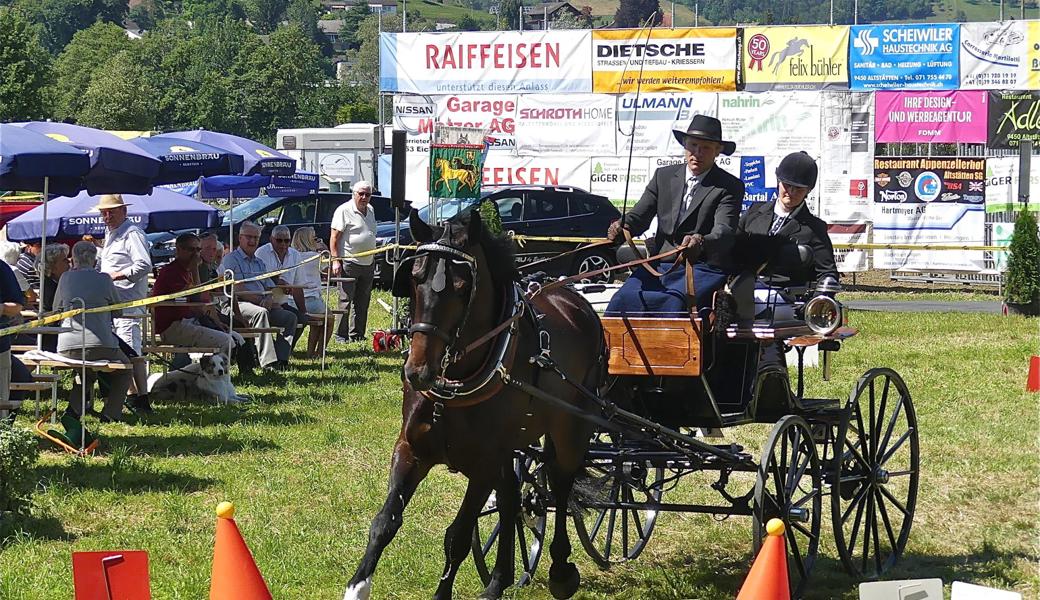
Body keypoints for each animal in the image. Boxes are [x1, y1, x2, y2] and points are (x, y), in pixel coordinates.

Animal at [343, 209, 603, 598]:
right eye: (415, 277)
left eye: (463, 287)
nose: (417, 372)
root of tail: (577, 302)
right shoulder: (411, 449)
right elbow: (384, 521)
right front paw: (357, 586)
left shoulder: (483, 466)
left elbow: (458, 537)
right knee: (512, 499)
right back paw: (499, 580)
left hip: (572, 427)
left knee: (559, 483)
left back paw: (560, 568)